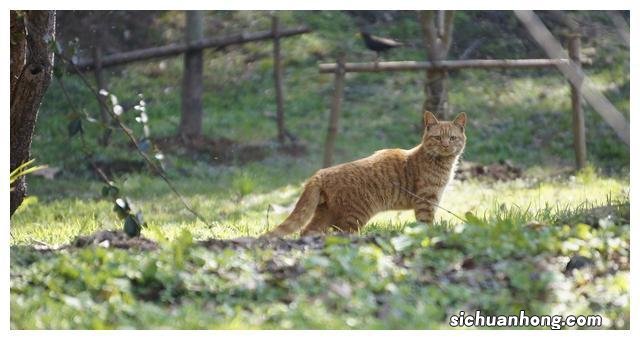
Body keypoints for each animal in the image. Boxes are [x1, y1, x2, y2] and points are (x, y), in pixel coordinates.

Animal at [262, 110, 468, 238]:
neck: (442, 163)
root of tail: (321, 173)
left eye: (452, 138)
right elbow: (425, 225)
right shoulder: (426, 201)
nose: (446, 145)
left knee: (306, 231)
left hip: (326, 213)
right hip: (353, 217)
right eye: (438, 138)